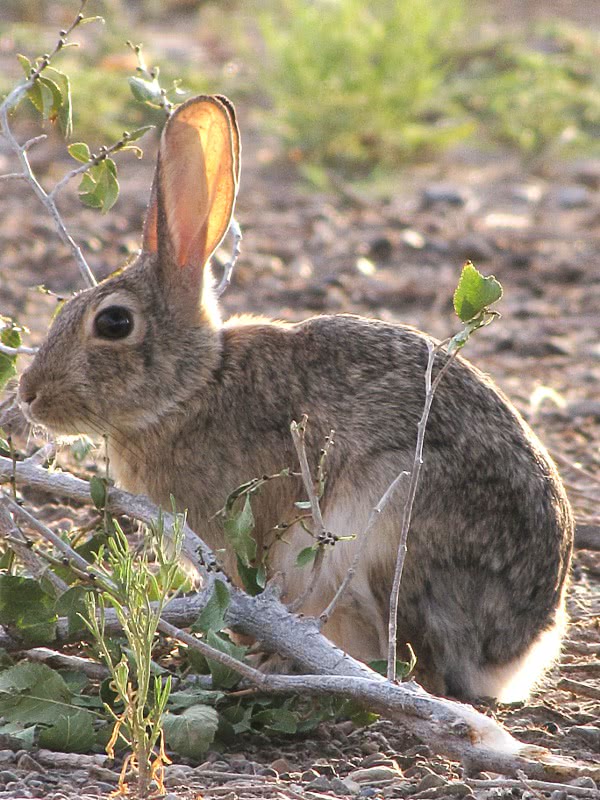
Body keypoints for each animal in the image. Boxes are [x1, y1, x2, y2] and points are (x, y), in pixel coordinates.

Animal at [17, 95, 572, 700]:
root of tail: (514, 651)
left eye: (114, 323)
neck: (195, 385)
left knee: (419, 669)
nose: (27, 395)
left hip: (385, 533)